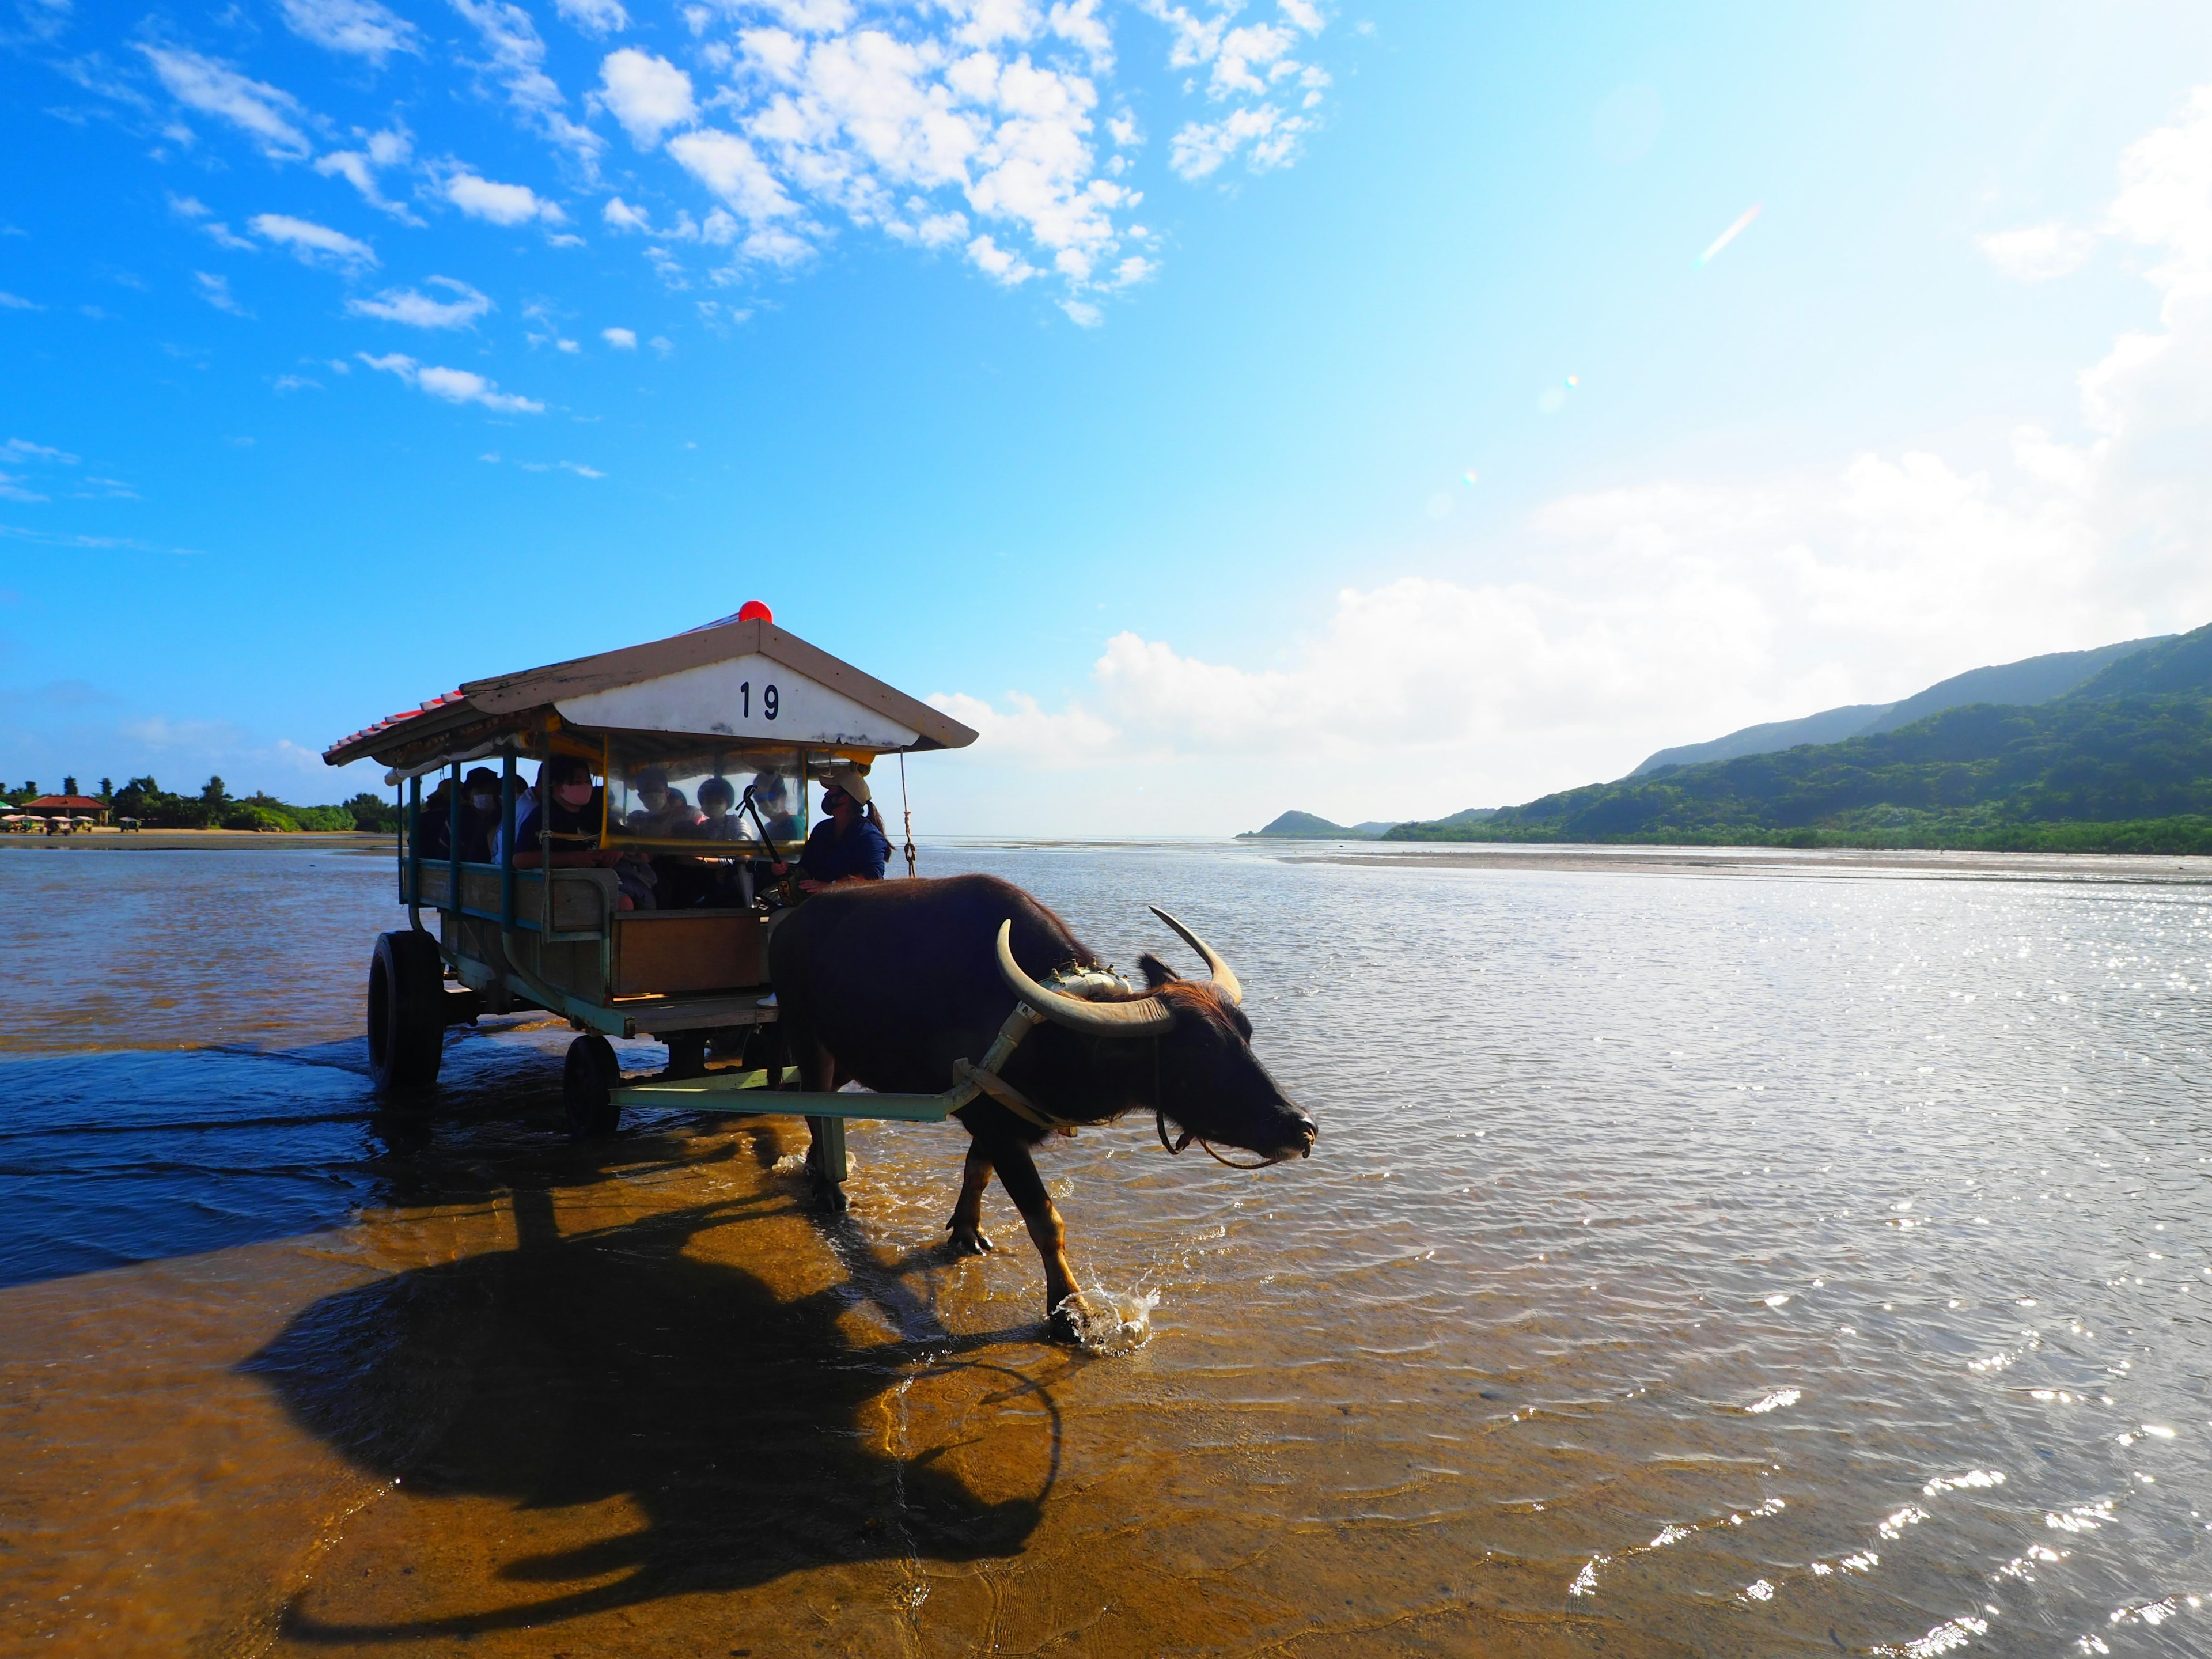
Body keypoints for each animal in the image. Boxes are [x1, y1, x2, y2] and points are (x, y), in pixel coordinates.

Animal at [770, 876, 1309, 1344]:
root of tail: (792, 922)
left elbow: (977, 1172)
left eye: (1247, 1036)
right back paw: (828, 1188)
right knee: (814, 1105)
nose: (1302, 1127)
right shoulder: (997, 1126)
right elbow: (1046, 1220)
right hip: (805, 1035)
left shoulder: (992, 1120)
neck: (1049, 1032)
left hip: (843, 1053)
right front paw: (1070, 1313)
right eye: (1200, 1053)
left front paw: (968, 1232)